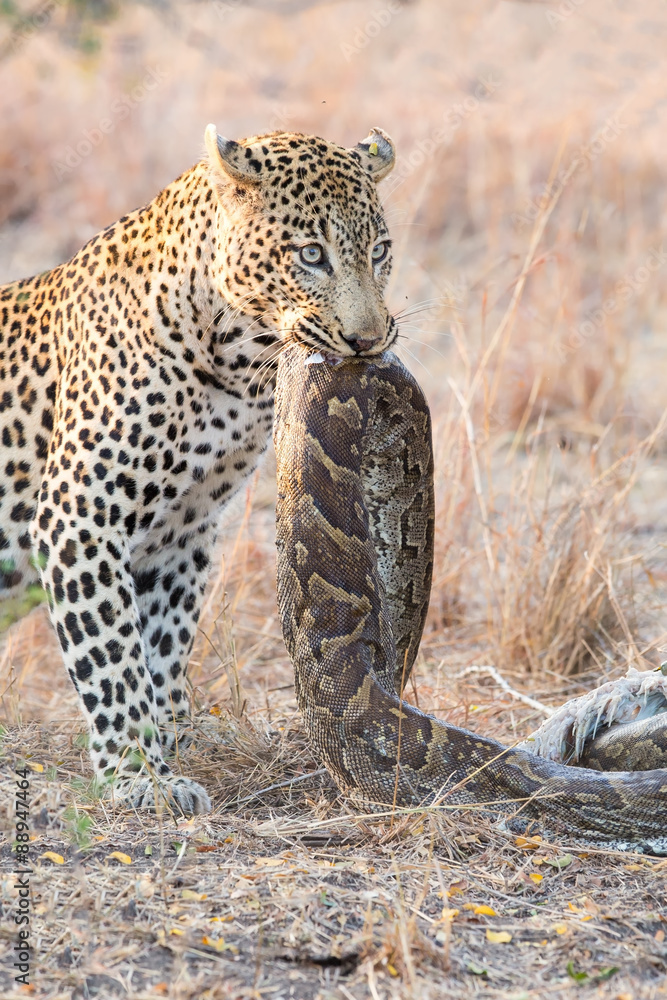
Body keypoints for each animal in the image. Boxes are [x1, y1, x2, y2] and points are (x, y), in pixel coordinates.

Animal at [0, 123, 396, 812]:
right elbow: (113, 655)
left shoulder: (182, 530)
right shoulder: (79, 517)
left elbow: (162, 646)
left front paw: (168, 745)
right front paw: (141, 776)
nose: (369, 342)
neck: (236, 361)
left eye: (380, 251)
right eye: (311, 254)